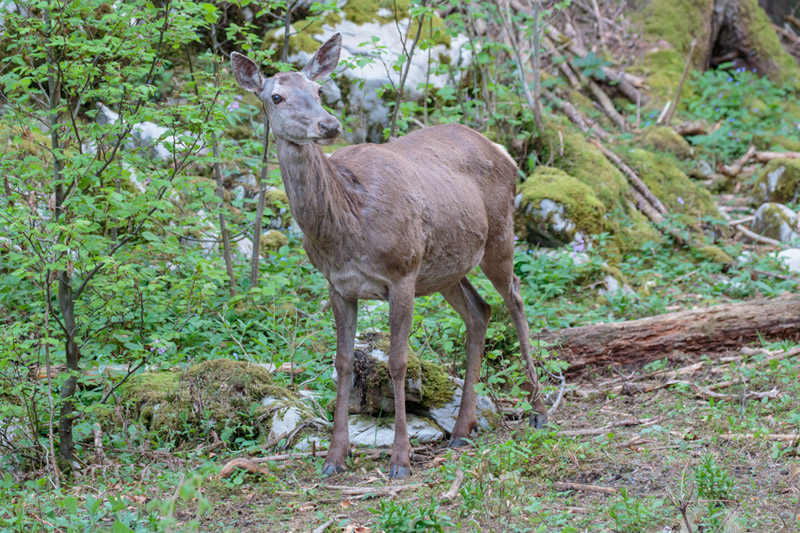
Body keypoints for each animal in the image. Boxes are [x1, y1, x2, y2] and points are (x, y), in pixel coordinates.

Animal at [228, 33, 548, 478]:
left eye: (319, 90)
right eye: (276, 96)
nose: (329, 125)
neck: (348, 225)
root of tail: (502, 149)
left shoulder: (401, 273)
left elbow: (398, 362)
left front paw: (400, 458)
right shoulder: (339, 285)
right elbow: (343, 362)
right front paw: (334, 457)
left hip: (498, 233)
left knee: (515, 299)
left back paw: (538, 411)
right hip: (445, 267)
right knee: (479, 311)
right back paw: (461, 429)